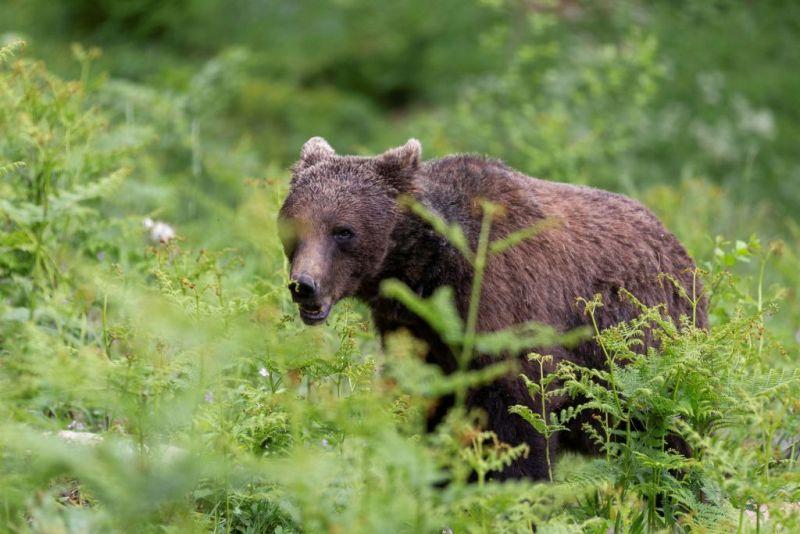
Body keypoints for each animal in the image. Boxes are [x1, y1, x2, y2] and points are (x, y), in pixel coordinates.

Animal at [276, 138, 708, 482]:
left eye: (343, 230)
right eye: (292, 228)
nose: (304, 286)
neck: (428, 273)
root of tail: (678, 244)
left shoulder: (507, 312)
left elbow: (516, 425)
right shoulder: (417, 333)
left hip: (643, 350)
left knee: (668, 440)